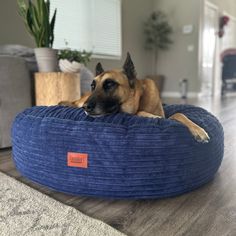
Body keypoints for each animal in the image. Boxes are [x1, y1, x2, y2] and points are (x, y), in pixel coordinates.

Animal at [59, 52, 210, 143]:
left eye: (109, 84)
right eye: (93, 86)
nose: (86, 107)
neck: (140, 99)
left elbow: (178, 114)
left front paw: (198, 130)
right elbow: (143, 113)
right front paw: (152, 116)